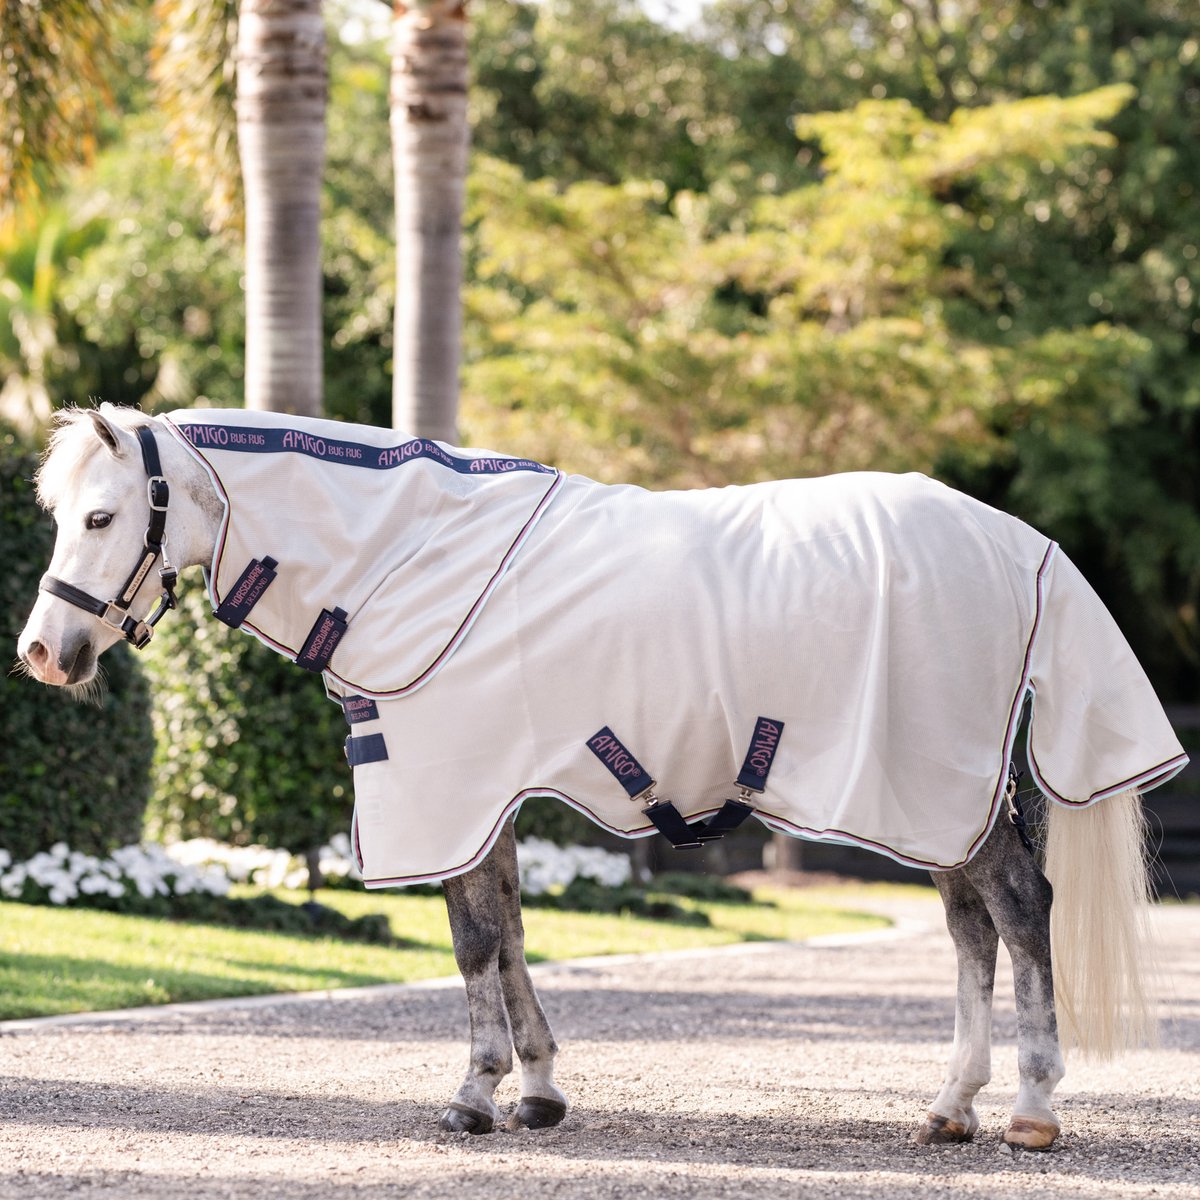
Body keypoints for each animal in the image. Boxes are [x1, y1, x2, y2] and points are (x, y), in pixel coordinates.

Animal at [16, 403, 1187, 1151]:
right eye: (61, 514)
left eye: (104, 516)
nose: (42, 654)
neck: (411, 553)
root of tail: (1021, 544)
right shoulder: (486, 793)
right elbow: (509, 930)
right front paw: (536, 1091)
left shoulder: (448, 784)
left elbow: (474, 940)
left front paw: (476, 1094)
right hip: (940, 800)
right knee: (972, 927)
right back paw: (951, 1106)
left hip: (933, 788)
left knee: (1019, 909)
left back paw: (1032, 1112)